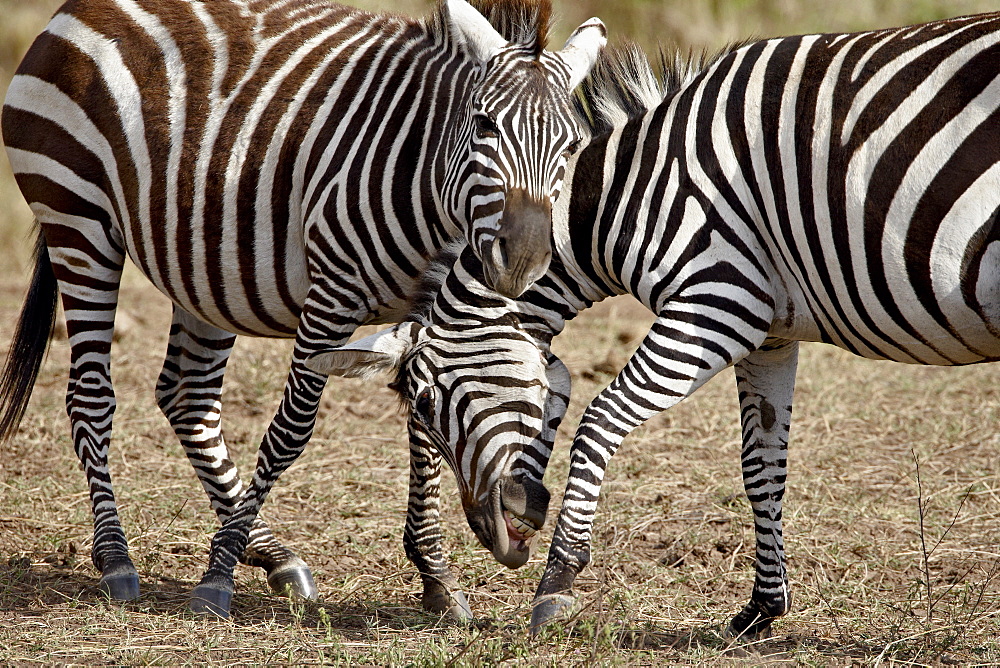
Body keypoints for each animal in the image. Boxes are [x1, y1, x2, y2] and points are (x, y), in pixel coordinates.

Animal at [0, 0, 604, 620]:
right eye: (483, 124)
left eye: (572, 145)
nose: (523, 259)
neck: (426, 186)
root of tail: (78, 9)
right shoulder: (332, 293)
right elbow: (292, 431)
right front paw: (217, 576)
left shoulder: (423, 316)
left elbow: (422, 433)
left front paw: (435, 575)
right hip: (78, 220)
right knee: (90, 395)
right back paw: (117, 560)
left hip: (203, 261)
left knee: (188, 396)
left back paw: (270, 553)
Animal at [316, 13, 1000, 640]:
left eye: (428, 401)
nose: (497, 538)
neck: (638, 193)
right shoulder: (771, 333)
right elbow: (762, 467)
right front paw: (761, 609)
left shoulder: (720, 303)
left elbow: (598, 421)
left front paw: (557, 583)